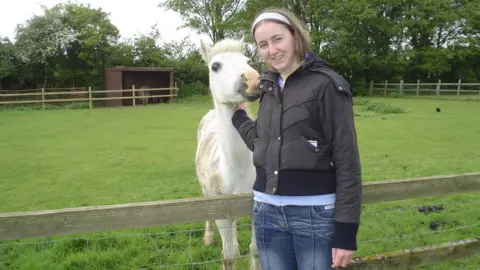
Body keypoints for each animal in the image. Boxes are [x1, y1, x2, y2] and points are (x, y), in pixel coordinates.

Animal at [195, 38, 260, 270]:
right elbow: (228, 256)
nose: (253, 80)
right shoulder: (221, 212)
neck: (238, 169)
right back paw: (208, 238)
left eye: (248, 61)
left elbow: (255, 250)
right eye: (215, 66)